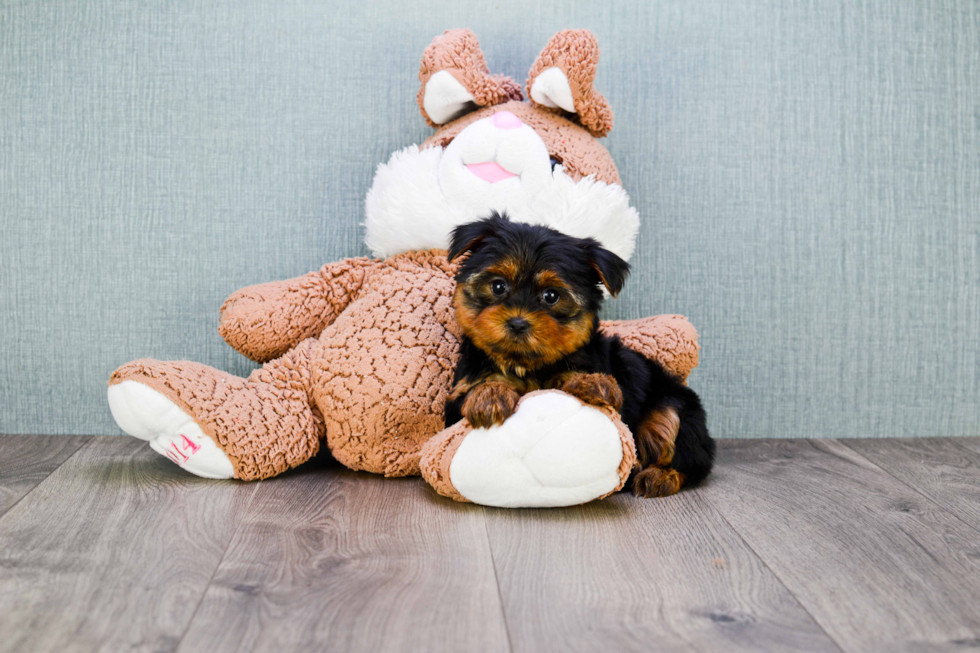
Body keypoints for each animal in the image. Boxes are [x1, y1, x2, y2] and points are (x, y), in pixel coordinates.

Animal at [444, 211, 712, 496]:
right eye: (498, 287)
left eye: (551, 296)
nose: (517, 323)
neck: (528, 364)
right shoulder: (455, 404)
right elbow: (476, 391)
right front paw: (490, 393)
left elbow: (576, 374)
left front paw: (592, 382)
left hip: (674, 405)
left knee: (689, 455)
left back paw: (661, 476)